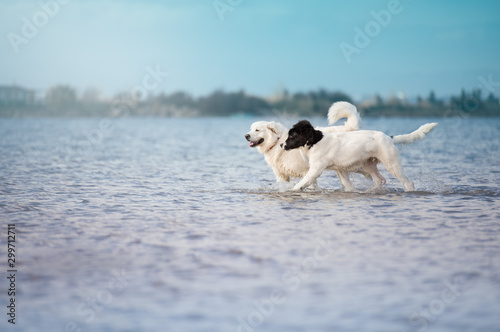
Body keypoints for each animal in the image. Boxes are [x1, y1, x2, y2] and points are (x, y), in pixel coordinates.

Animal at [282, 120, 426, 192]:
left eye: (292, 136)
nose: (281, 145)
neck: (315, 141)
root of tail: (389, 137)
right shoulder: (340, 170)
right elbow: (348, 185)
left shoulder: (316, 169)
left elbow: (304, 181)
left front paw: (294, 190)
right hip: (368, 164)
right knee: (380, 180)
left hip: (391, 163)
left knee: (408, 182)